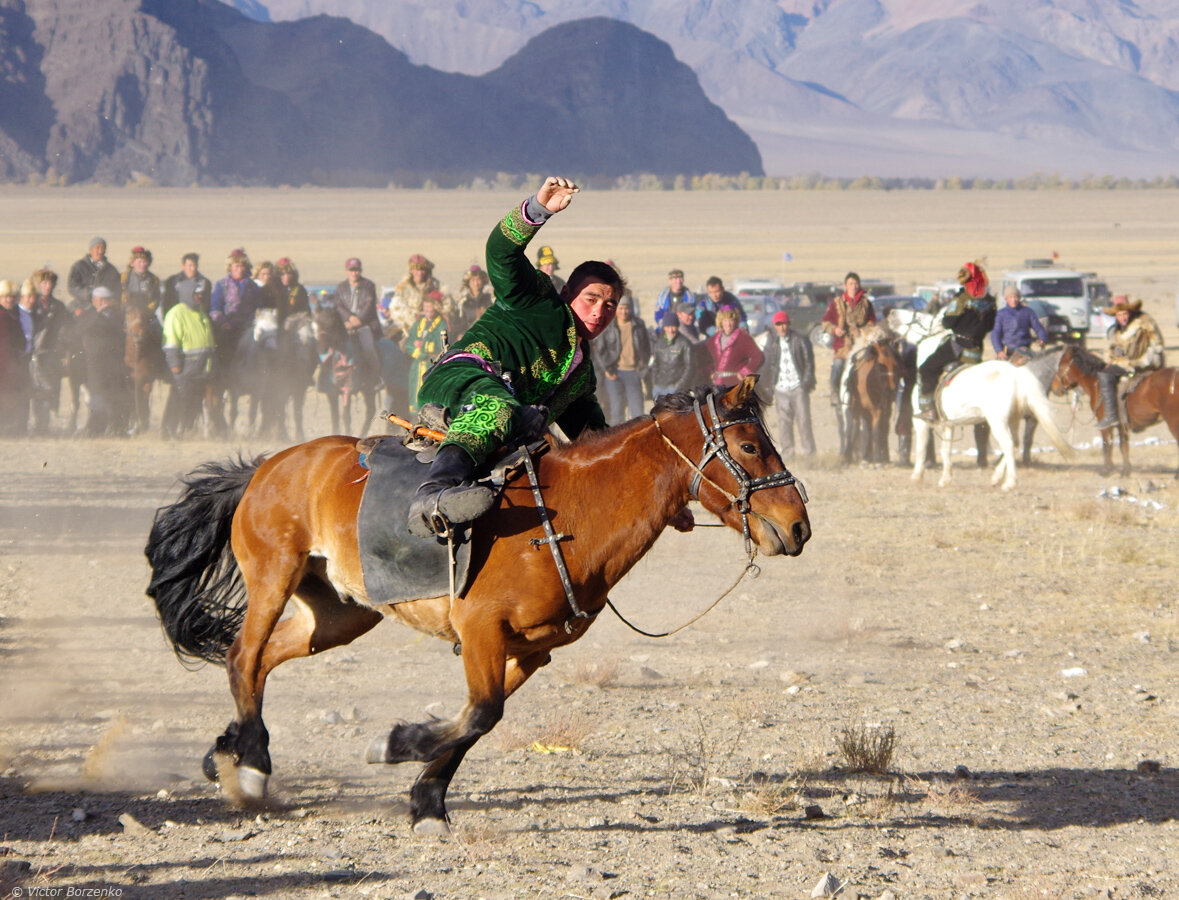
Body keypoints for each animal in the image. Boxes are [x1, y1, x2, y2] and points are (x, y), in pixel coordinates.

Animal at [145, 377, 811, 835]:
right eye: (750, 446)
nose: (798, 526)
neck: (566, 516)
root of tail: (267, 465)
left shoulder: (531, 650)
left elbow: (473, 724)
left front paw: (426, 800)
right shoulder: (482, 630)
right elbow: (480, 714)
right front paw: (398, 744)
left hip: (339, 612)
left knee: (262, 660)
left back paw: (225, 754)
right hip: (274, 575)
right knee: (242, 654)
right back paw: (252, 762)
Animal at [1051, 344, 1179, 478]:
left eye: (1060, 367)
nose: (1054, 388)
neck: (1095, 383)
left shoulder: (1105, 425)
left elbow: (1107, 444)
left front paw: (1107, 470)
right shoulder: (1121, 424)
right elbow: (1123, 446)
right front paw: (1126, 471)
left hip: (1173, 422)